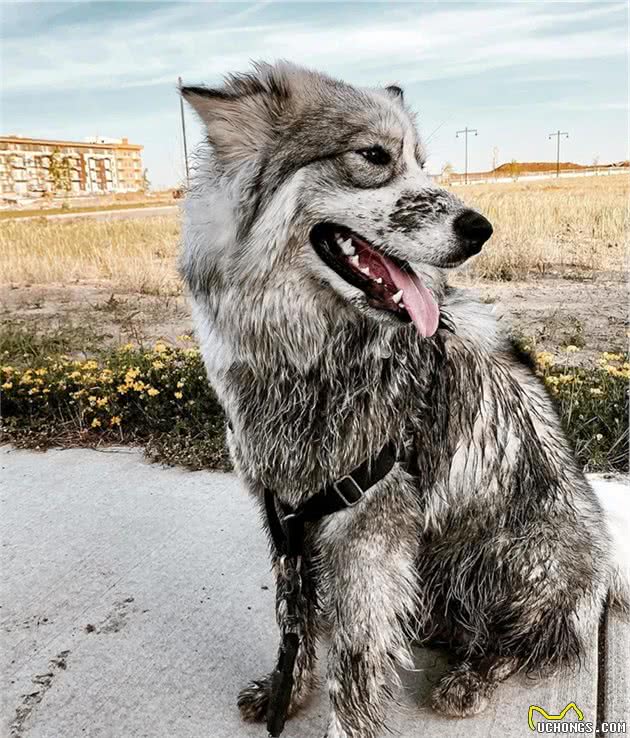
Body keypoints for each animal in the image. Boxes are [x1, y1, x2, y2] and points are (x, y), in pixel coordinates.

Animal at [179, 61, 630, 736]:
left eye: (422, 161)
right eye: (374, 156)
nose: (481, 229)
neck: (310, 356)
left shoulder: (367, 522)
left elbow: (355, 665)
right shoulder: (284, 512)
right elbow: (294, 617)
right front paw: (286, 689)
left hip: (524, 557)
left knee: (533, 642)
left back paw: (471, 675)